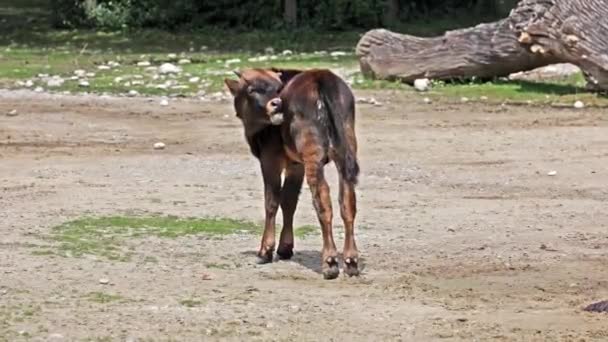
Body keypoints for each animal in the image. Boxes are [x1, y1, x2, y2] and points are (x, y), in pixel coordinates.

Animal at [224, 68, 358, 280]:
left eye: (278, 87)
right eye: (252, 89)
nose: (277, 103)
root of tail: (321, 76)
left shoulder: (270, 159)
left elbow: (272, 201)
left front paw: (265, 251)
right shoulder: (296, 164)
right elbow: (289, 201)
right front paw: (285, 248)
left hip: (313, 154)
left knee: (323, 200)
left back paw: (330, 262)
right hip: (346, 148)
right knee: (347, 201)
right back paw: (351, 261)